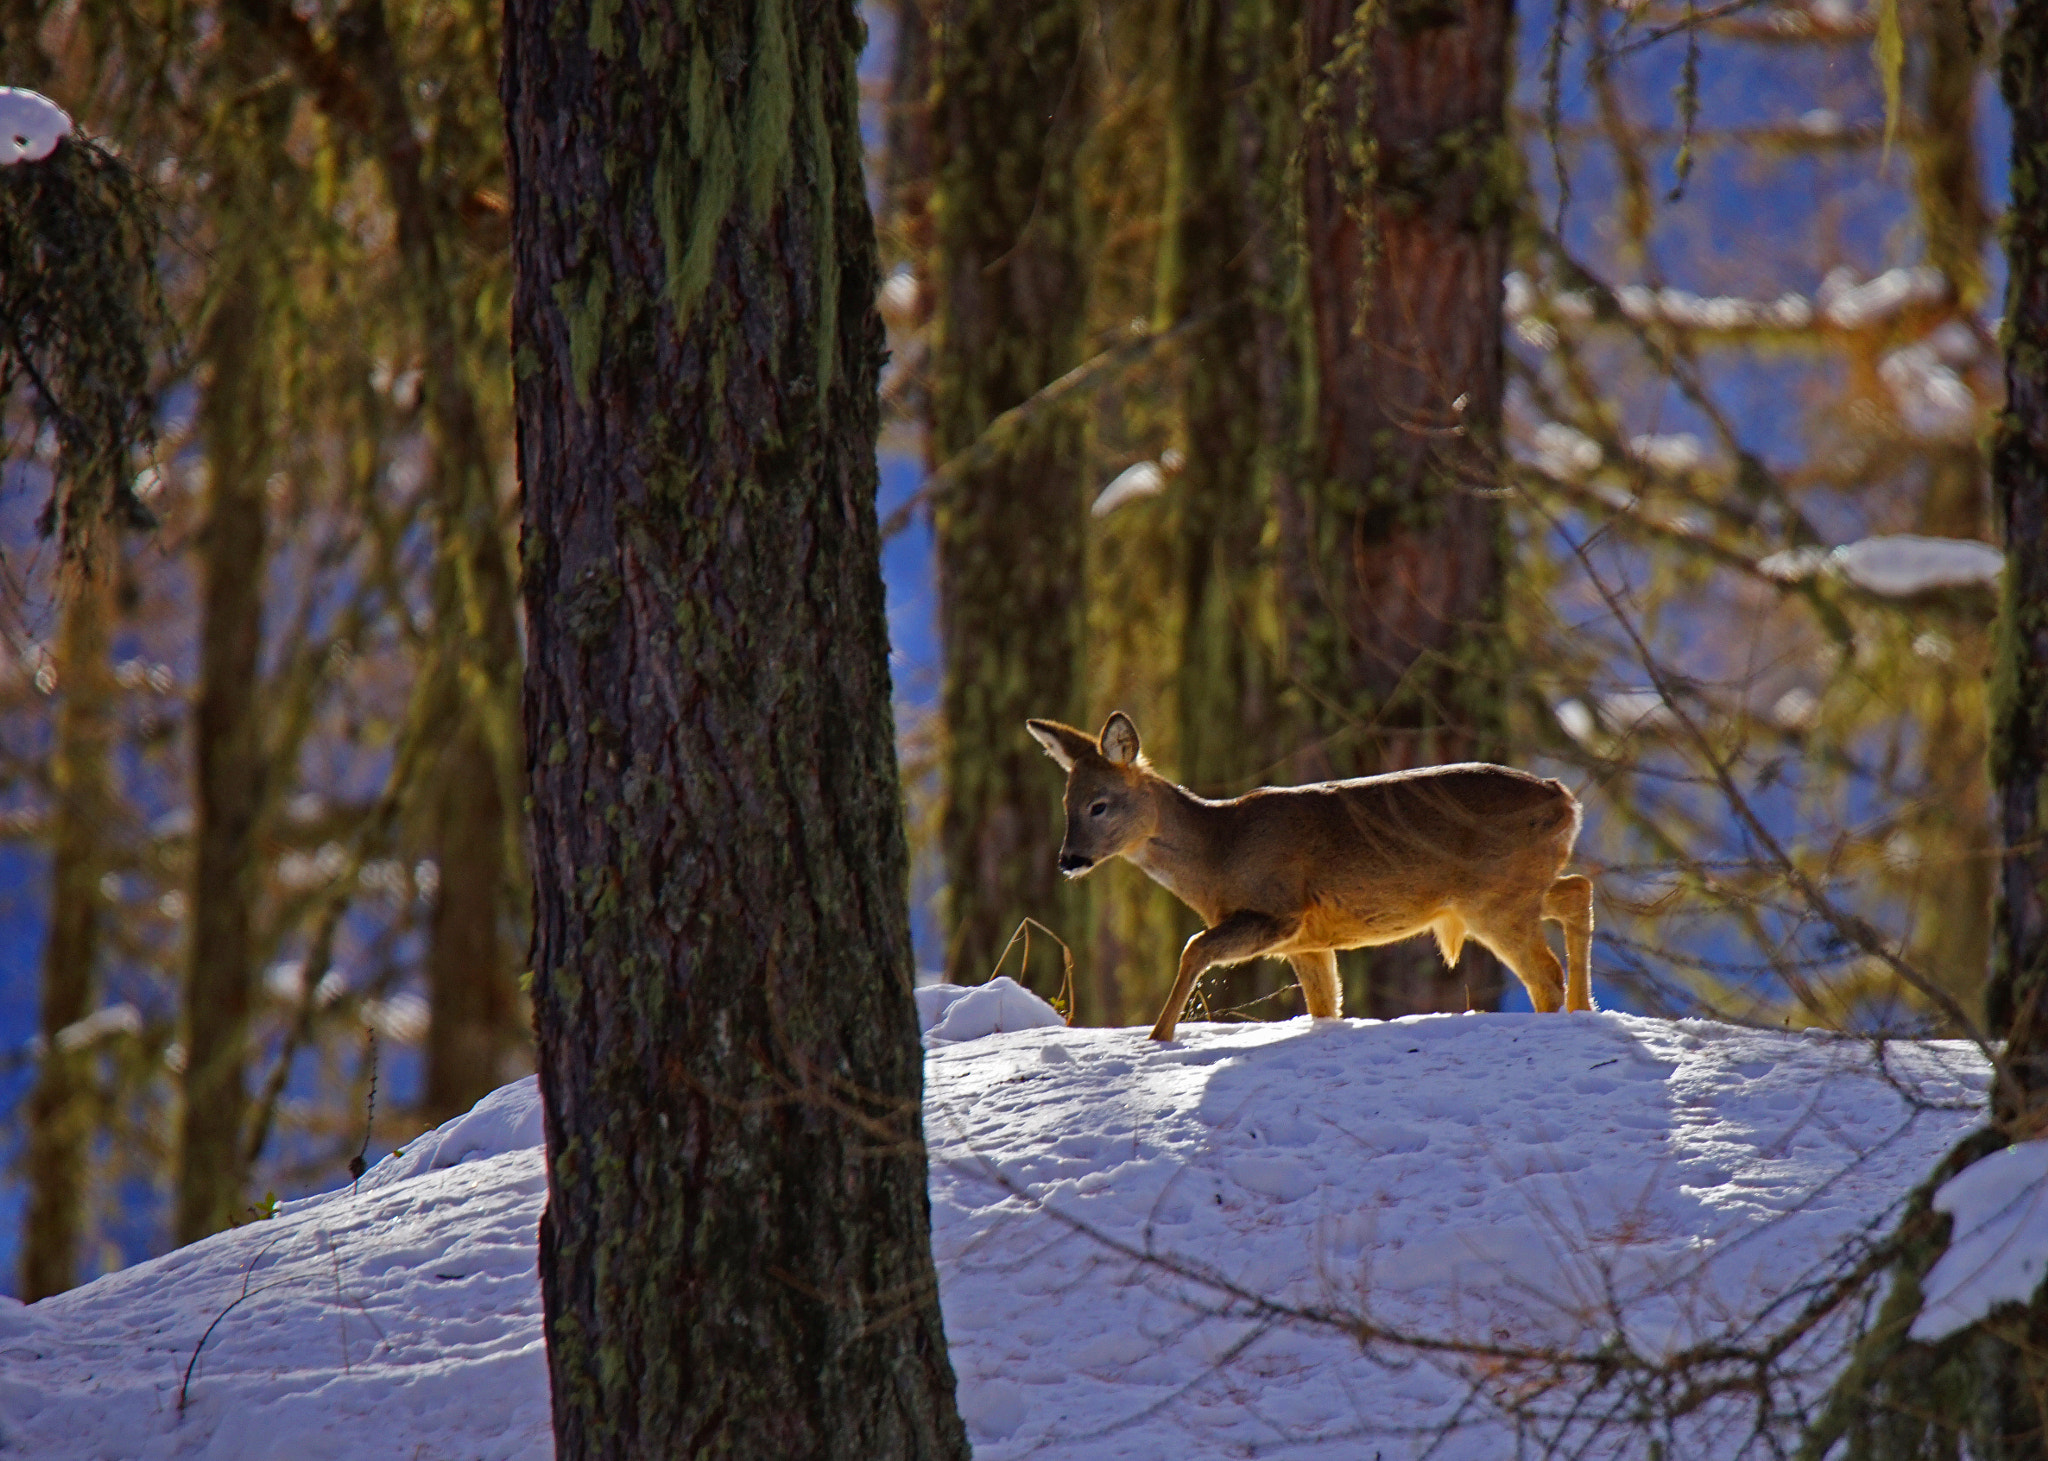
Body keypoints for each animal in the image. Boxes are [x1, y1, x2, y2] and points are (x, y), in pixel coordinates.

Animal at [1032, 717, 1589, 1036]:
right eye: (1065, 803)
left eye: (1099, 804)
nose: (1069, 859)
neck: (1218, 852)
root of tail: (1566, 799)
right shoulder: (1307, 942)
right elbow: (1326, 1006)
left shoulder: (1279, 910)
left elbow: (1194, 946)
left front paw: (1157, 1038)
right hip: (1514, 889)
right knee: (1576, 891)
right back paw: (1585, 1009)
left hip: (1493, 899)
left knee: (1545, 972)